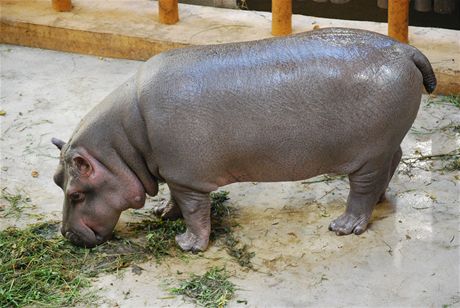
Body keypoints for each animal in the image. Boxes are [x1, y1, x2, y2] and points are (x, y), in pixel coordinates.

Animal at [51, 27, 434, 251]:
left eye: (76, 193)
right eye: (57, 180)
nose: (66, 235)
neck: (123, 144)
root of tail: (405, 50)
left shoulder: (188, 177)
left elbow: (195, 210)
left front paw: (188, 244)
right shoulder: (174, 170)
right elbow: (176, 199)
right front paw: (164, 213)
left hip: (368, 155)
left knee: (362, 190)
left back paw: (343, 227)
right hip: (385, 146)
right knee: (394, 161)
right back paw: (380, 199)